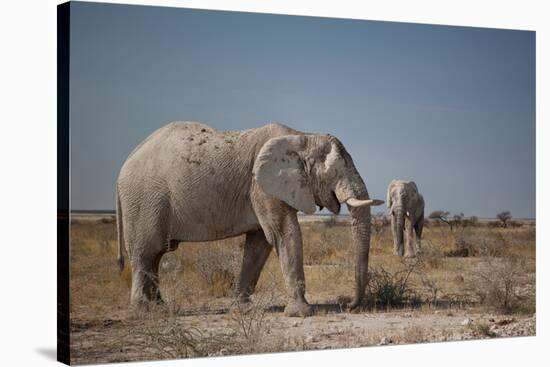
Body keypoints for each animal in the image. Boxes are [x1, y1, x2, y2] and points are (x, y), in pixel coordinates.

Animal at [116, 122, 384, 318]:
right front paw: (302, 313)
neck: (302, 137)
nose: (347, 304)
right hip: (144, 201)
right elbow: (284, 234)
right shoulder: (262, 187)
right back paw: (143, 313)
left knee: (156, 256)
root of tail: (125, 162)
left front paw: (243, 309)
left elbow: (259, 244)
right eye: (335, 173)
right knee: (145, 254)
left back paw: (160, 308)